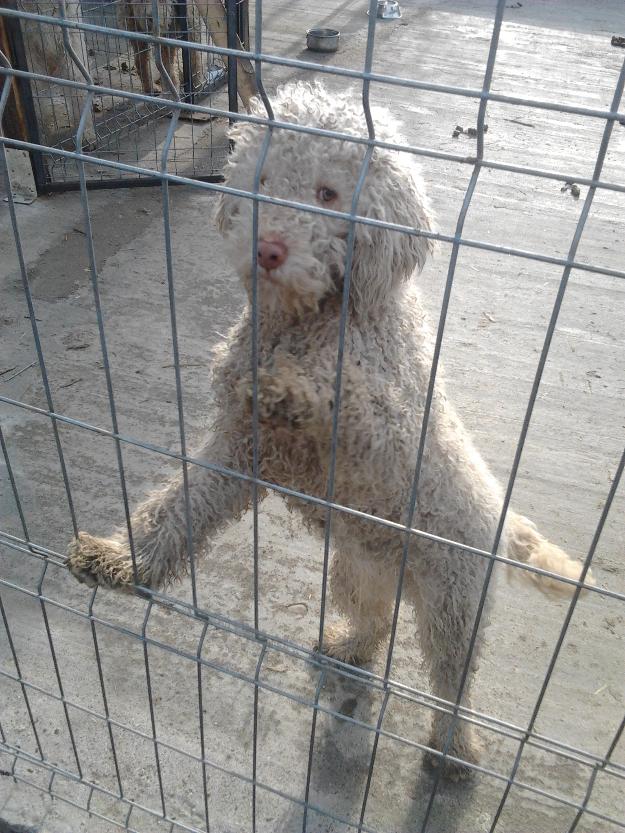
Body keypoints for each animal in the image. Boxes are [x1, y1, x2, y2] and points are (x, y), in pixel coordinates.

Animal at [68, 81, 588, 776]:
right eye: (262, 179)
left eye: (327, 193)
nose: (267, 249)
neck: (309, 322)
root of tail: (505, 525)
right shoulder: (236, 452)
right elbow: (176, 508)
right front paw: (122, 559)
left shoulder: (388, 422)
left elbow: (349, 401)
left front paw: (291, 390)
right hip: (359, 570)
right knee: (377, 622)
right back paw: (348, 648)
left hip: (455, 603)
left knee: (454, 683)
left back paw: (455, 751)